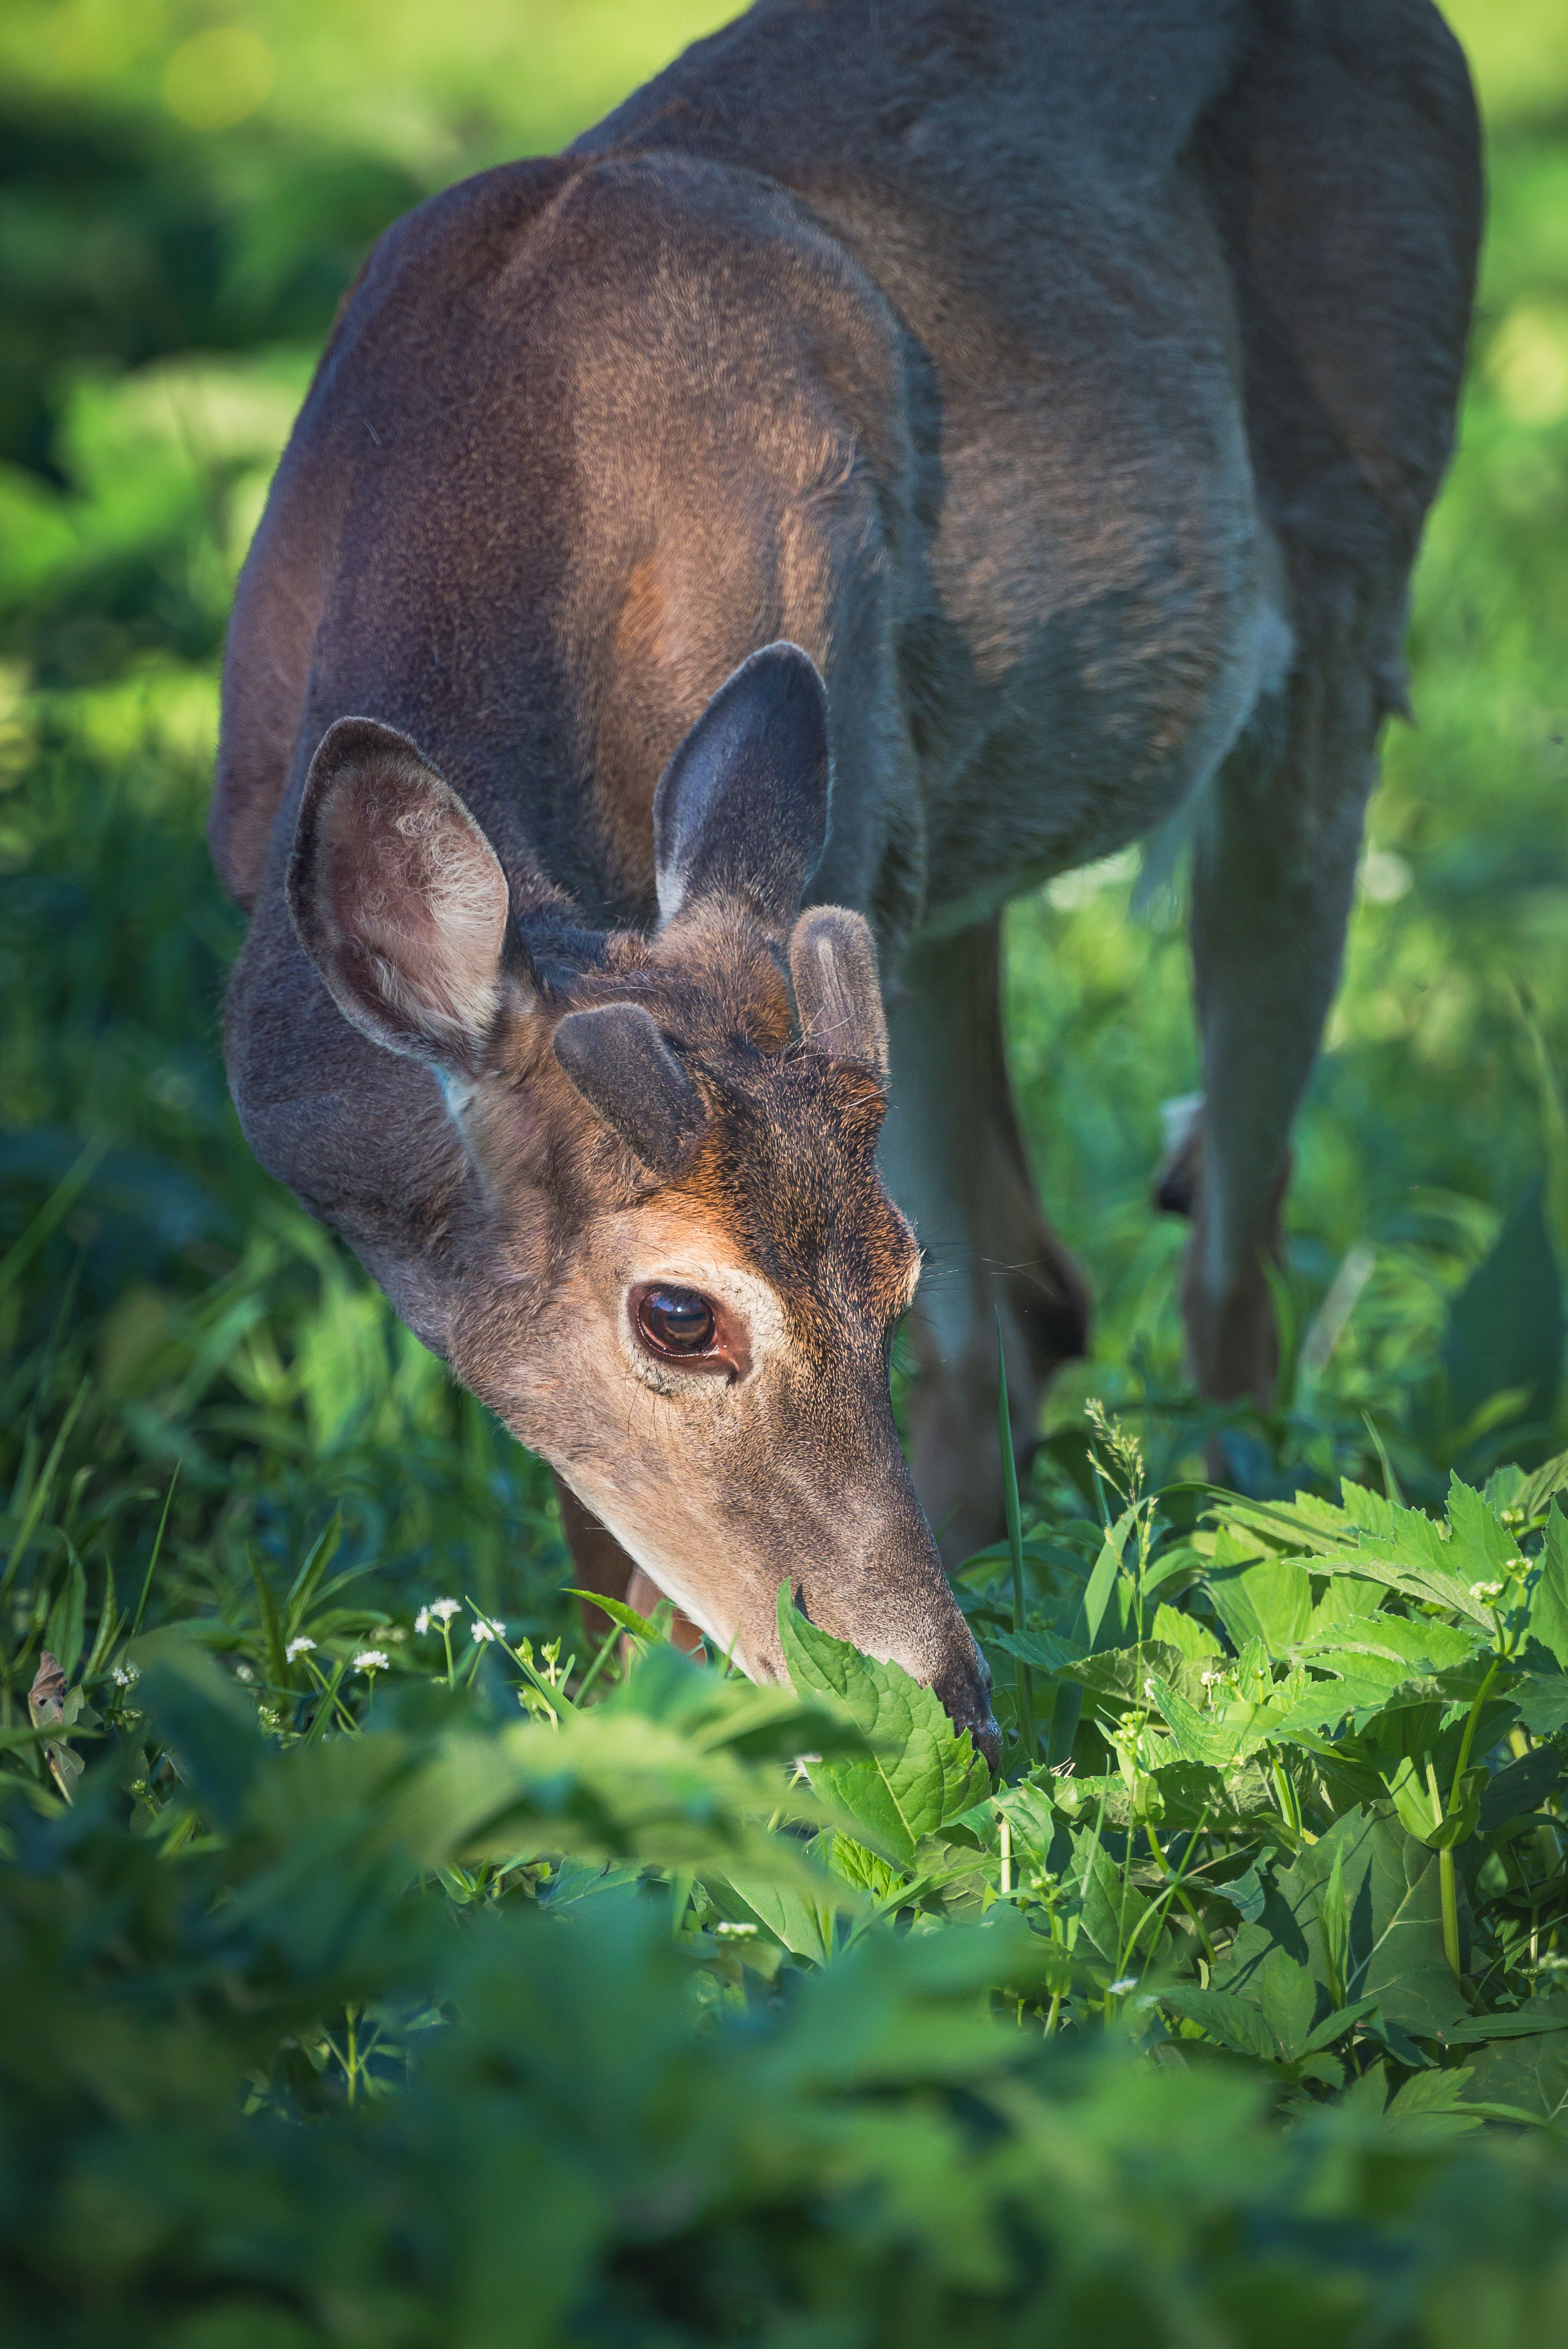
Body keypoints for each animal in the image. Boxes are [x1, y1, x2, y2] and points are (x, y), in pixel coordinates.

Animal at [212, 0, 1480, 1766]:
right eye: (679, 1314)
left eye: (884, 1272)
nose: (945, 1702)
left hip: (1336, 622)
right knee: (1042, 1286)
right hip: (928, 870)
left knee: (1230, 1248)